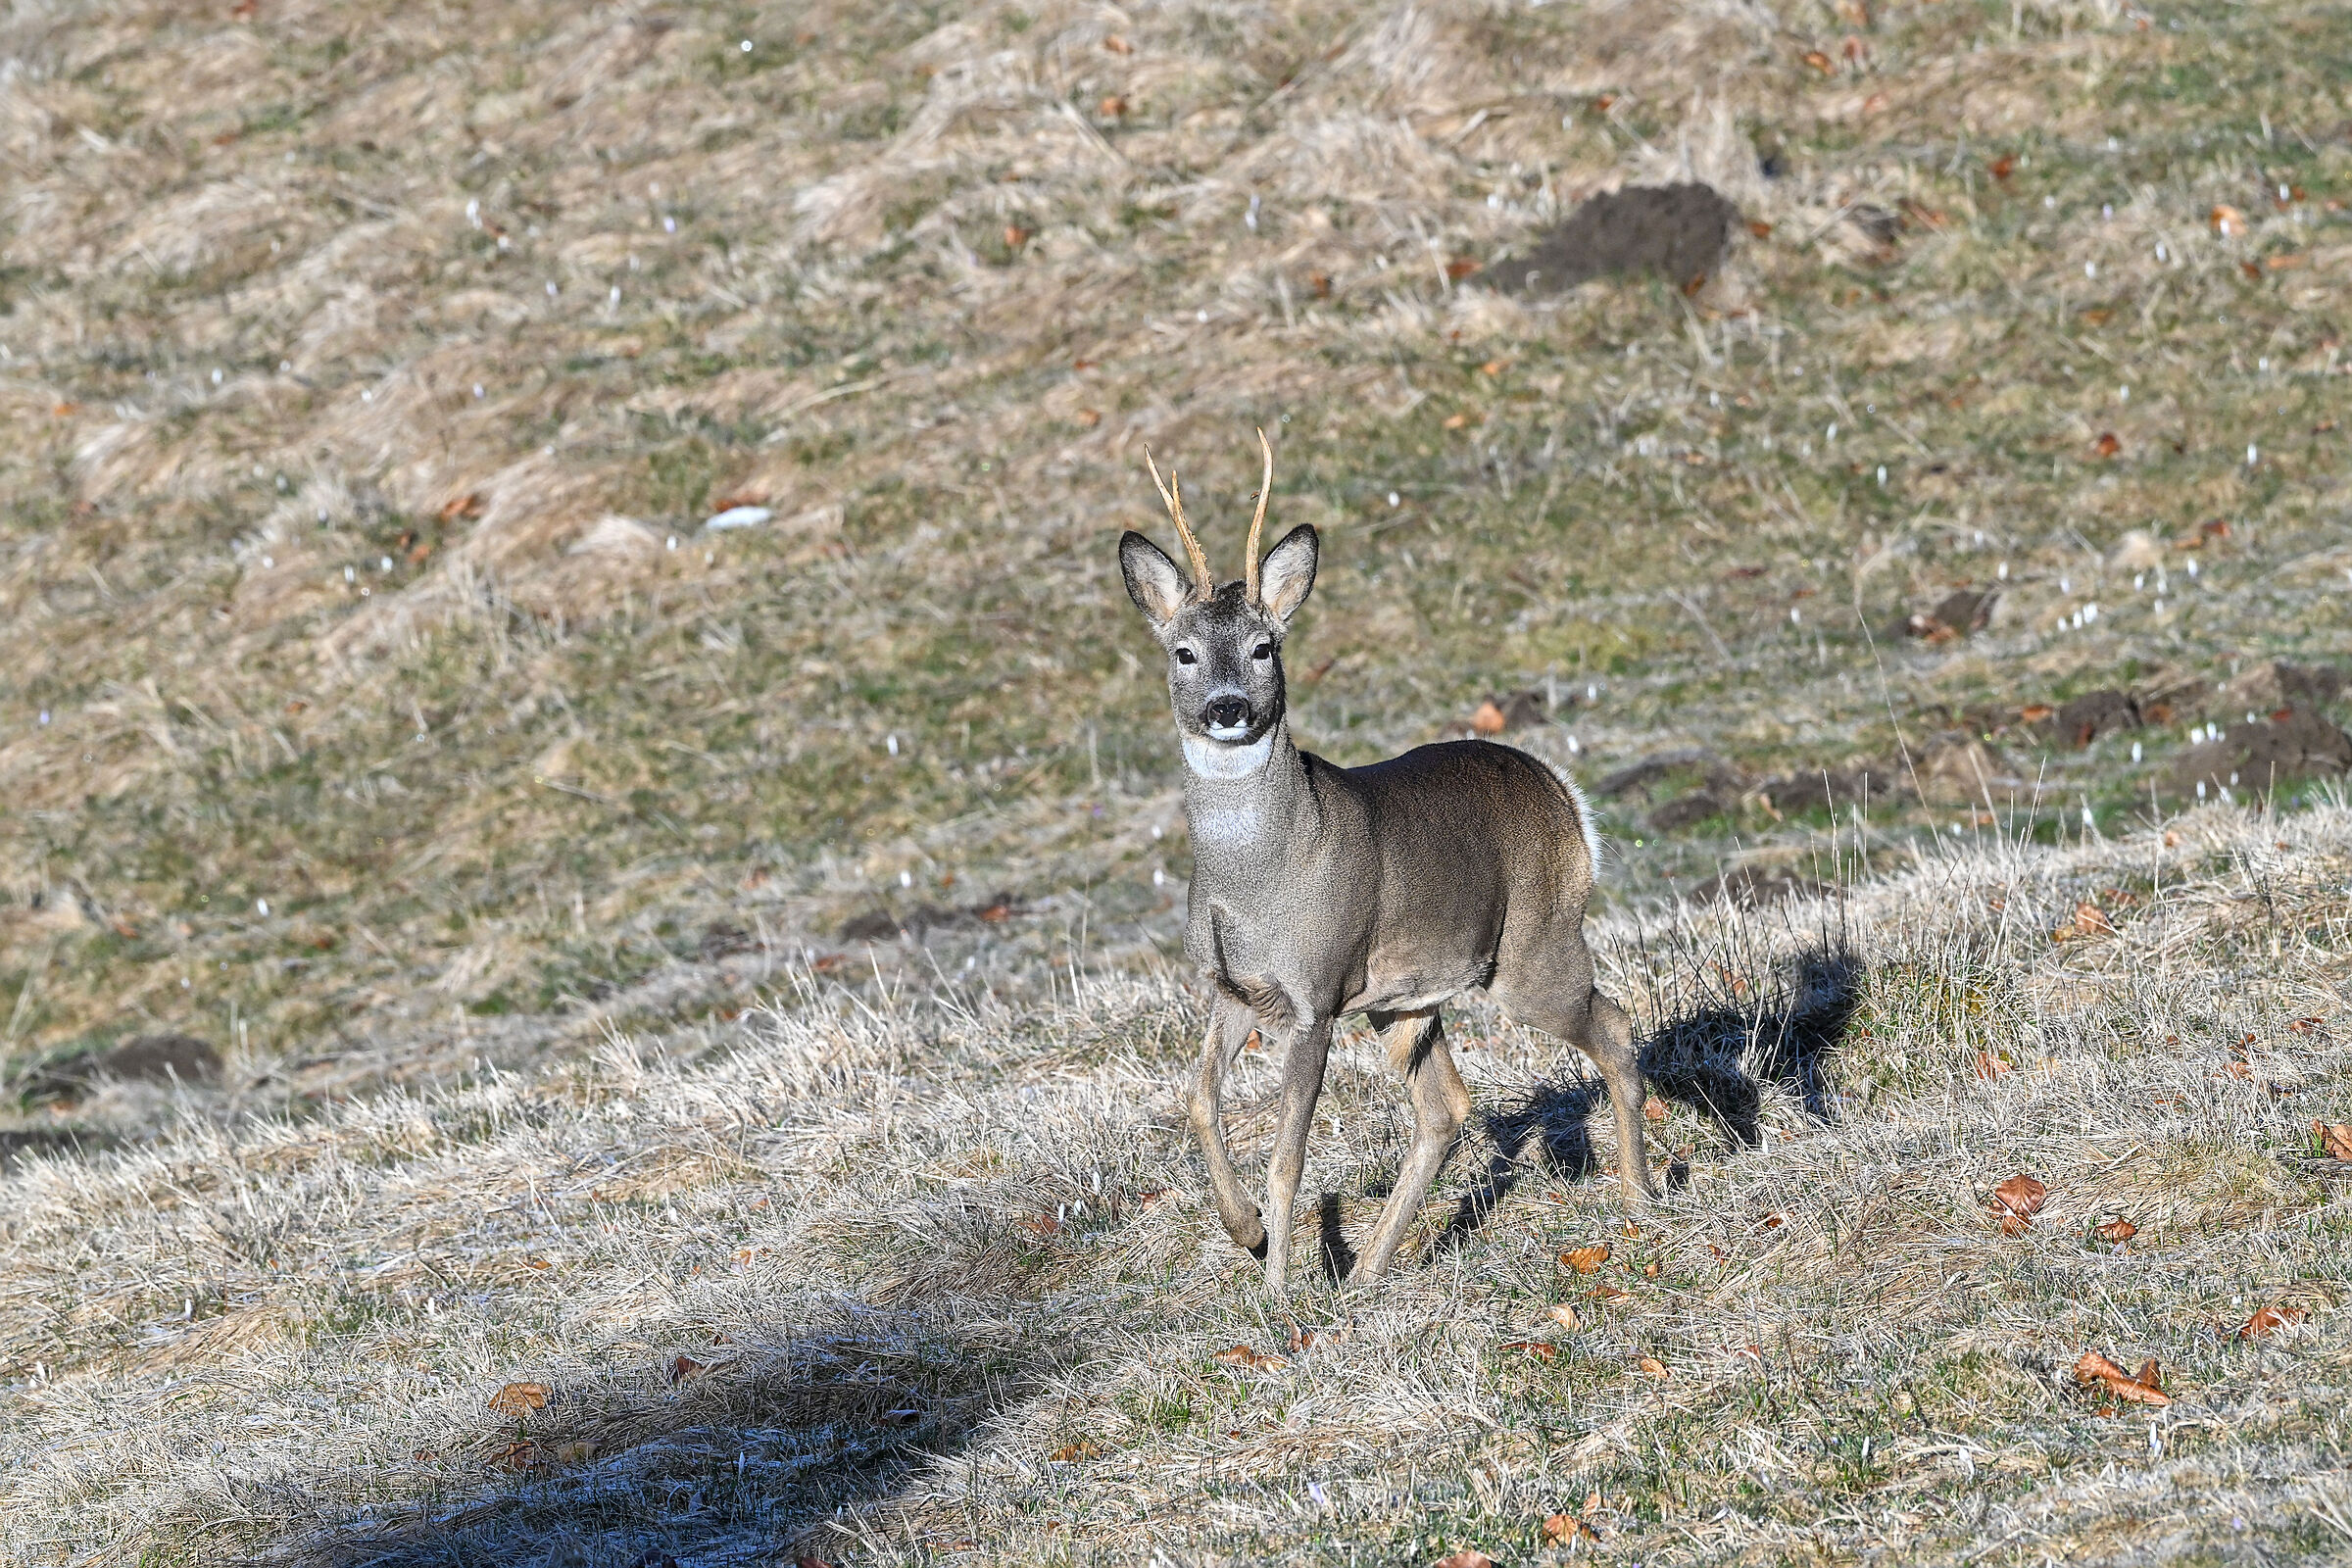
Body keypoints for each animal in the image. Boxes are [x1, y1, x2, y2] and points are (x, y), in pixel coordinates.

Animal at [1118, 431, 1654, 1295]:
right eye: (1185, 651)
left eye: (1265, 646)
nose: (1229, 707)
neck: (1254, 882)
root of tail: (1561, 792)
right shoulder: (1233, 988)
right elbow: (1196, 1101)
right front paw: (1248, 1235)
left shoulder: (1316, 995)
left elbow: (1289, 1159)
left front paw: (1276, 1293)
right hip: (1404, 999)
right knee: (1448, 1108)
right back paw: (1369, 1270)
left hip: (1533, 947)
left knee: (1612, 1026)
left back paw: (1640, 1195)